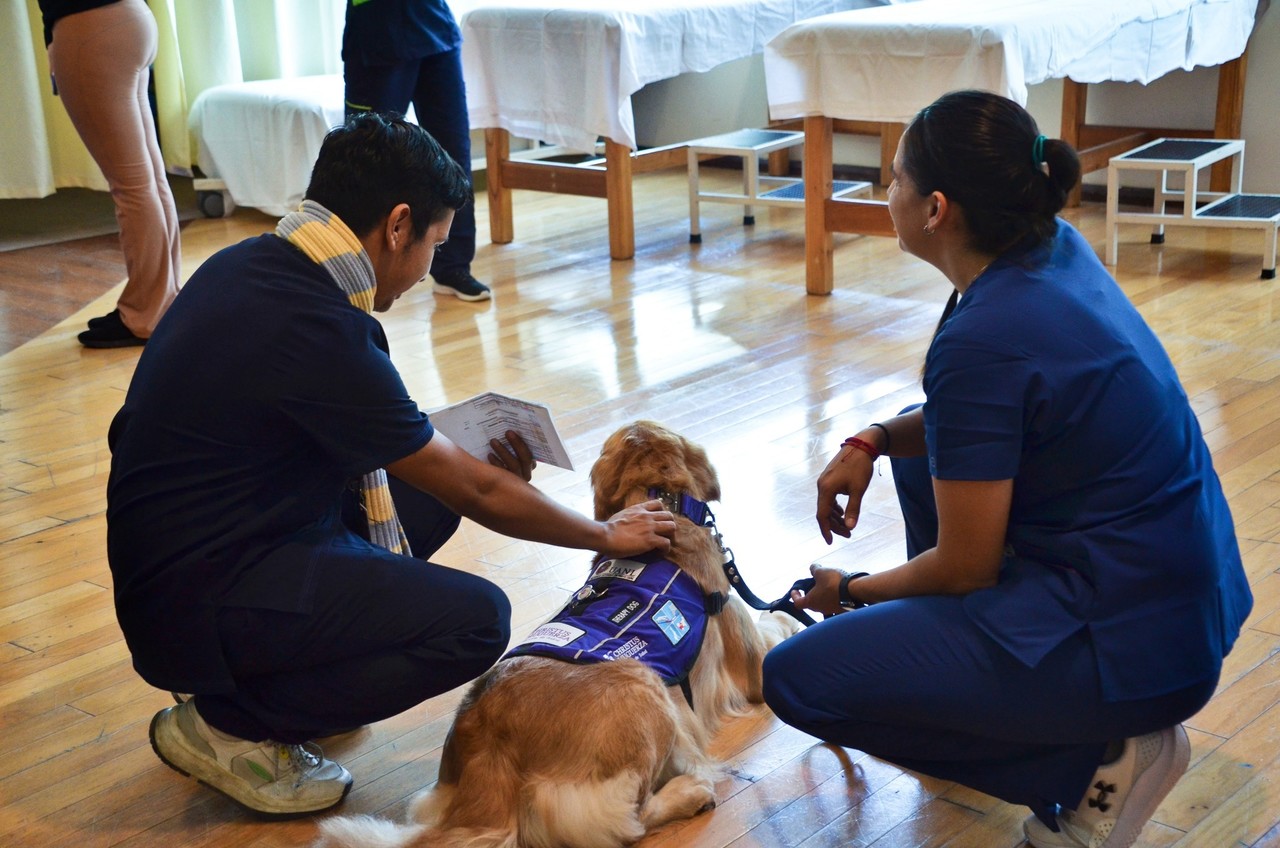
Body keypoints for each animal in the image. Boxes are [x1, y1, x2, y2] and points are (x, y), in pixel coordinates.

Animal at [317, 422, 798, 848]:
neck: (661, 500)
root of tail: (490, 740)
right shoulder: (751, 665)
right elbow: (774, 626)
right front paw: (792, 611)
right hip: (647, 691)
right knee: (628, 821)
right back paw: (690, 792)